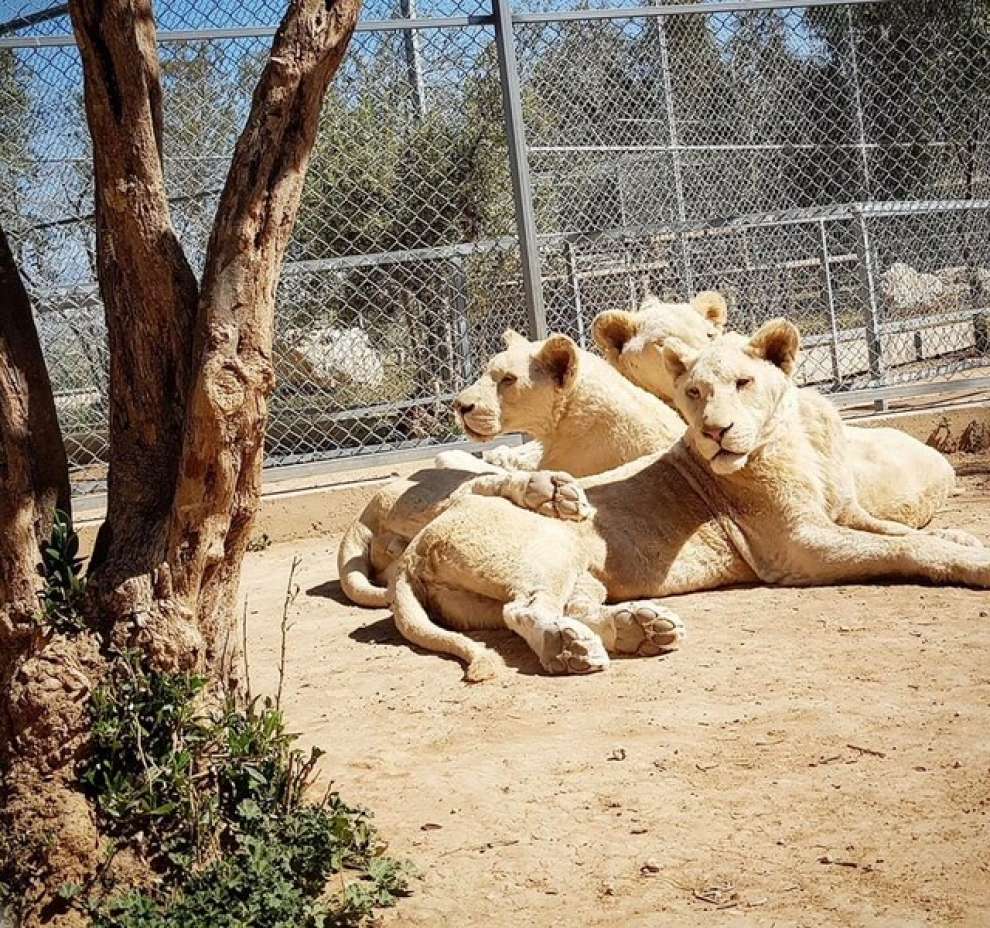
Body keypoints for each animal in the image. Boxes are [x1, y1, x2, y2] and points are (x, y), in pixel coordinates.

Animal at [337, 328, 685, 607]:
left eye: (508, 379)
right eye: (486, 373)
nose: (460, 406)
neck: (568, 417)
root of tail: (365, 514)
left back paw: (548, 492)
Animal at [388, 319, 989, 682]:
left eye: (743, 383)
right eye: (694, 393)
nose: (715, 431)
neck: (788, 440)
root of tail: (414, 550)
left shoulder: (840, 515)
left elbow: (905, 533)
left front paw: (962, 535)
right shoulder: (799, 546)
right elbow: (906, 549)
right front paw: (975, 561)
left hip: (581, 570)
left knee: (573, 606)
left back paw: (641, 629)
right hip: (551, 543)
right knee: (529, 609)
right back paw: (570, 650)